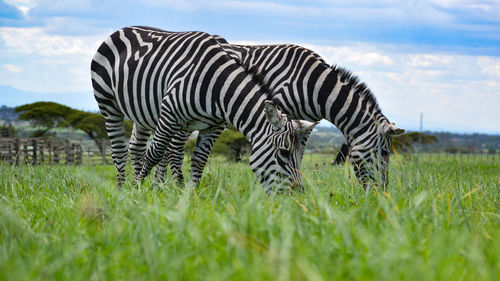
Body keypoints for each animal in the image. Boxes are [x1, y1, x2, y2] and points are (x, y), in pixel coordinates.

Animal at [90, 26, 316, 190]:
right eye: (284, 153)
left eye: (300, 154)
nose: (298, 195)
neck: (219, 87)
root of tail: (122, 29)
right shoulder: (169, 115)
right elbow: (154, 153)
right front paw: (137, 189)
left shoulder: (213, 127)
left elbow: (199, 160)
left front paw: (189, 195)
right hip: (108, 104)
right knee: (119, 150)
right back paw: (122, 189)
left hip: (143, 114)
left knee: (136, 146)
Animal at [146, 41, 404, 187]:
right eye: (384, 153)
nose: (381, 195)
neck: (311, 85)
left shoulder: (301, 121)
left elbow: (298, 150)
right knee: (172, 148)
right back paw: (168, 186)